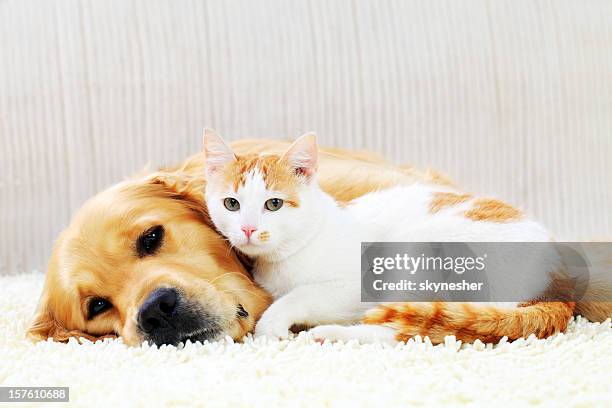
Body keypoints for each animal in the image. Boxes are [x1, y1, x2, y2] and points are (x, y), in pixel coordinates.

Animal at [203, 129, 572, 342]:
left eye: (274, 204)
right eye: (232, 204)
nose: (248, 228)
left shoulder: (355, 285)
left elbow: (298, 297)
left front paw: (272, 325)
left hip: (418, 249)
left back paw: (330, 334)